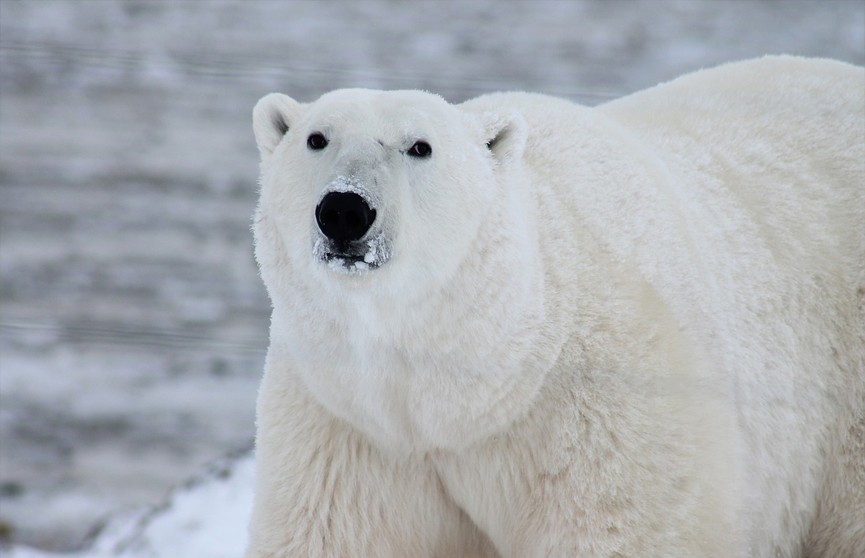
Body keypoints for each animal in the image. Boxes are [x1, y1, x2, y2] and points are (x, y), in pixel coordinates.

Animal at [245, 58, 864, 558]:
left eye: (419, 146)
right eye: (316, 138)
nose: (345, 210)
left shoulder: (603, 406)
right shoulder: (349, 424)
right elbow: (333, 534)